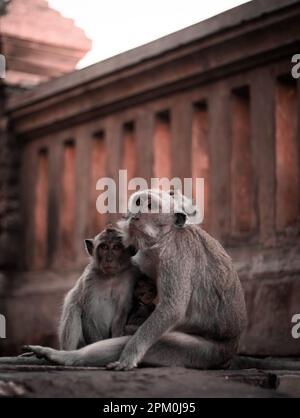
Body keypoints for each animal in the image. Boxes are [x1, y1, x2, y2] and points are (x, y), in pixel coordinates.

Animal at [24, 188, 246, 370]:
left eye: (150, 206)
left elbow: (172, 308)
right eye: (138, 202)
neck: (166, 235)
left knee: (154, 342)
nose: (135, 215)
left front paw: (129, 356)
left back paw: (68, 357)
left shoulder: (176, 254)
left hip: (206, 353)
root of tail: (232, 348)